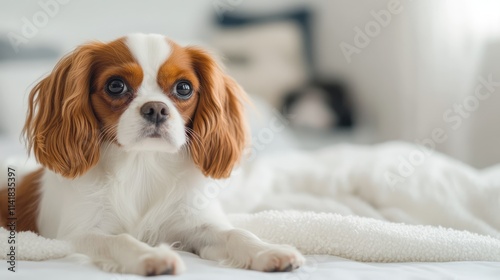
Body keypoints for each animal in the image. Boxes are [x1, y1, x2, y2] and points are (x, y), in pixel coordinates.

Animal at [0, 33, 304, 276]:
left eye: (184, 88)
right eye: (115, 85)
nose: (156, 108)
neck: (142, 162)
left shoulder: (196, 225)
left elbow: (235, 233)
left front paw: (268, 251)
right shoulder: (76, 234)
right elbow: (120, 239)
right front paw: (151, 256)